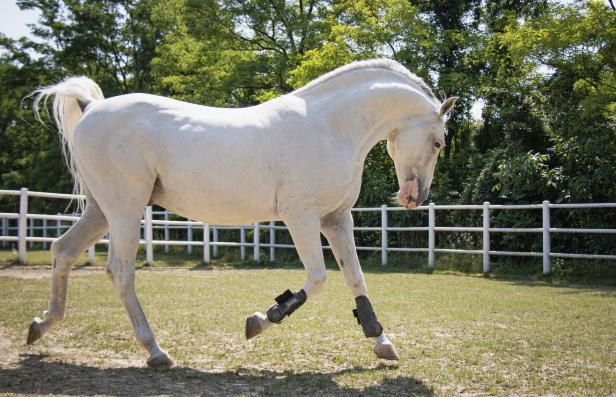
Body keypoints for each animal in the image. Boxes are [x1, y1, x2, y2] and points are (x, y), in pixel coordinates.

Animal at [27, 59, 458, 368]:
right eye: (438, 142)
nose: (414, 197)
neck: (329, 127)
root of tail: (92, 107)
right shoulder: (301, 217)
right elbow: (317, 279)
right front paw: (262, 320)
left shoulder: (336, 220)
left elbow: (356, 279)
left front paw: (382, 342)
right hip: (124, 210)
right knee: (119, 271)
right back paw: (156, 352)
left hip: (102, 210)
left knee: (62, 251)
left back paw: (41, 325)